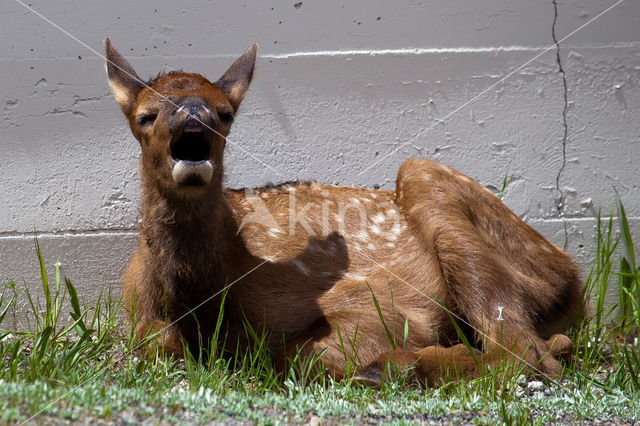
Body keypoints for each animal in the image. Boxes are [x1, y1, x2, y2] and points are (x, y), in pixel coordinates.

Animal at [104, 37, 584, 386]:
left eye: (225, 113)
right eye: (146, 115)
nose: (193, 114)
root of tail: (573, 276)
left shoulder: (375, 304)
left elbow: (300, 358)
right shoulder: (137, 317)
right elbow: (154, 344)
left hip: (428, 180)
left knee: (524, 350)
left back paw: (396, 368)